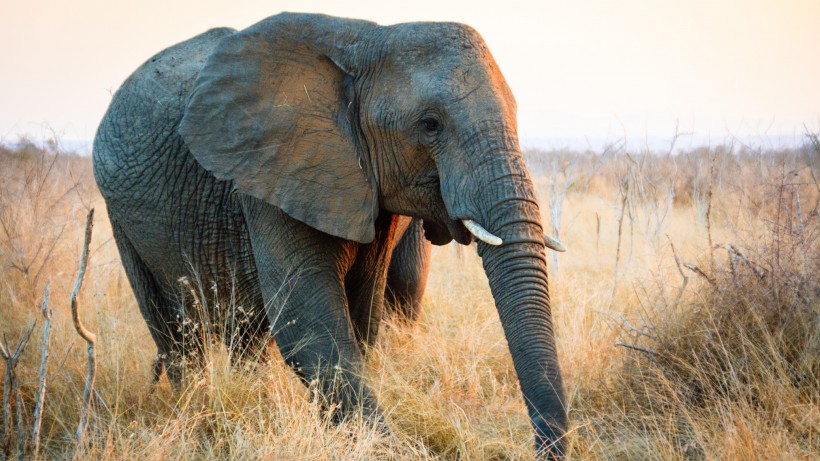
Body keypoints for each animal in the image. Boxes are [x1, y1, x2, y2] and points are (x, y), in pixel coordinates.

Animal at [89, 11, 564, 456]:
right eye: (430, 124)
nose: (544, 449)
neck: (368, 40)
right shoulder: (274, 170)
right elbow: (310, 323)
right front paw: (385, 448)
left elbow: (361, 316)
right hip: (120, 215)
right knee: (174, 333)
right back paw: (196, 408)